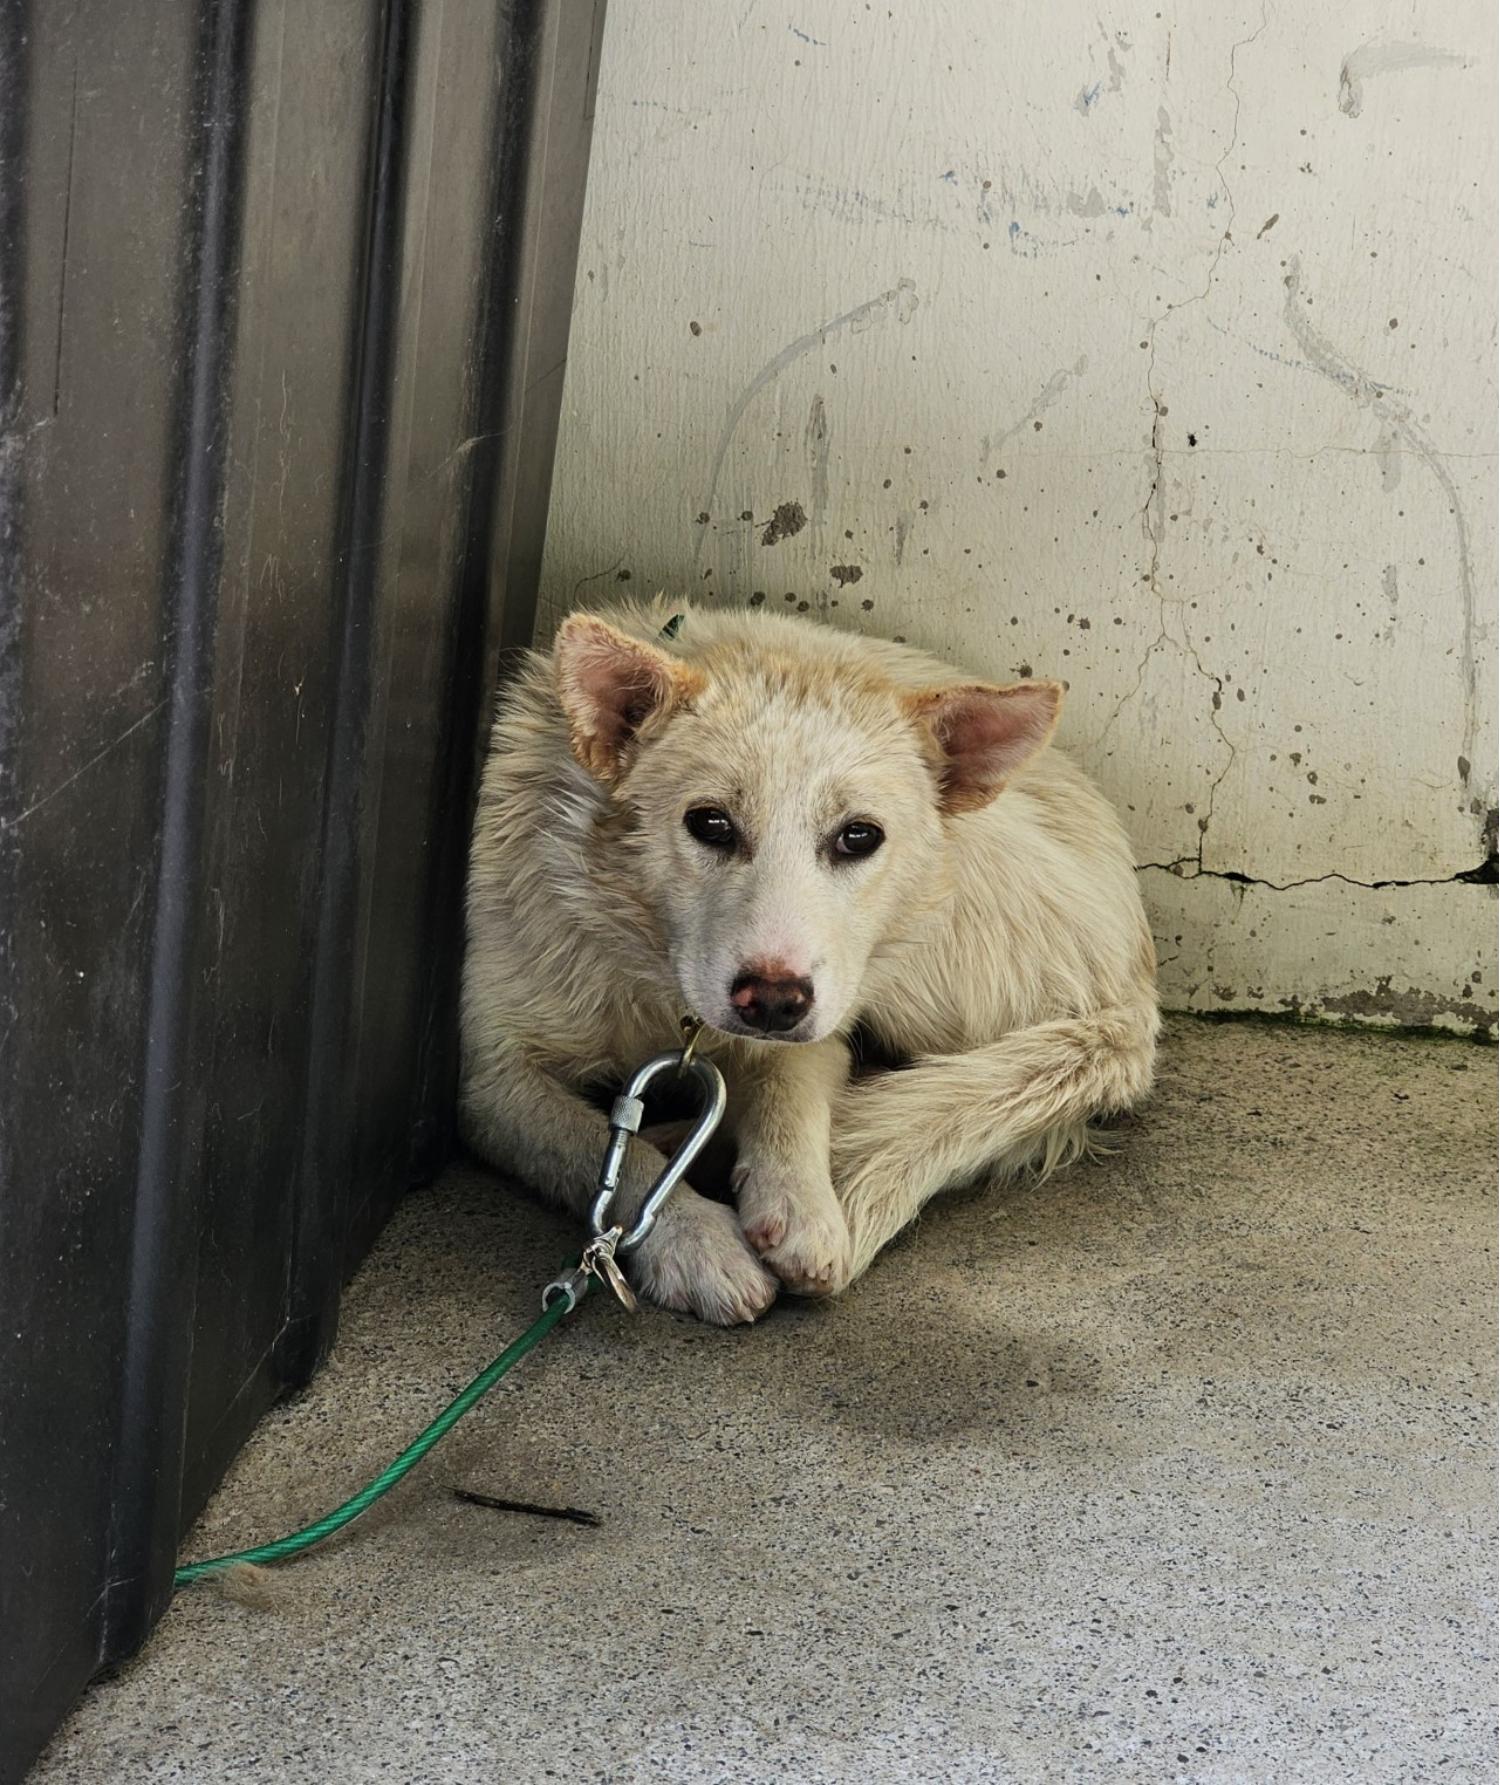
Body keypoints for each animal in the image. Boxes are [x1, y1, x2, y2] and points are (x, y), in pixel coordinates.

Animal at [460, 603, 1157, 1328]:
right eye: (710, 823)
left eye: (859, 836)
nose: (772, 1002)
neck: (656, 975)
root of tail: (1132, 992)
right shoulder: (492, 1083)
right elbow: (607, 1152)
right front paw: (693, 1237)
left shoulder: (820, 1017)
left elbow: (790, 1087)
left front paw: (798, 1202)